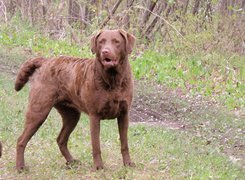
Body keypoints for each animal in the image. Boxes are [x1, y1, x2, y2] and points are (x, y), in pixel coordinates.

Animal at [14, 29, 136, 172]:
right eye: (101, 42)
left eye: (116, 42)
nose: (105, 51)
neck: (113, 80)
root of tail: (46, 61)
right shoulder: (95, 116)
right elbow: (96, 145)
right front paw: (98, 166)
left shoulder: (124, 114)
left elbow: (124, 144)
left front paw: (128, 164)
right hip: (38, 110)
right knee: (21, 140)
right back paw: (20, 167)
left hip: (71, 115)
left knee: (60, 139)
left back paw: (71, 162)